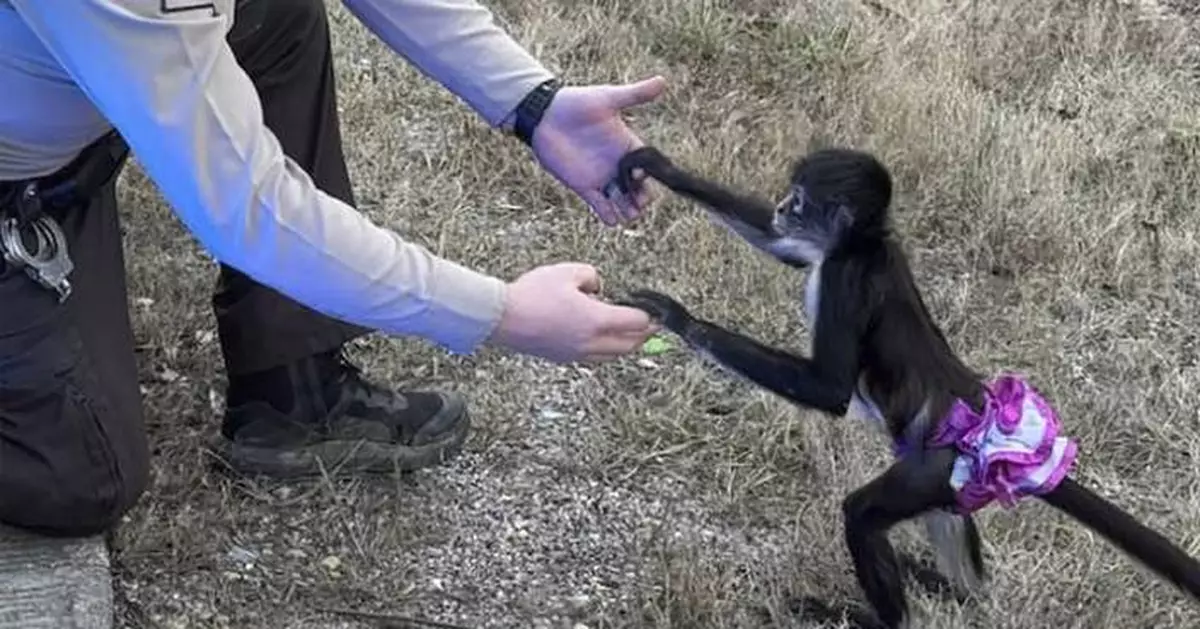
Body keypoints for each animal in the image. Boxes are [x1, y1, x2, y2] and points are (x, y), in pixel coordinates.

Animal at [614, 145, 1200, 624]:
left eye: (799, 200)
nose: (781, 206)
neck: (865, 245)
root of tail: (986, 412)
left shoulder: (845, 278)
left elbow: (829, 390)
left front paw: (680, 319)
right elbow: (783, 248)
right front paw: (660, 166)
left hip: (931, 469)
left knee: (863, 515)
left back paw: (878, 619)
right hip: (954, 481)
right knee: (949, 533)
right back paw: (958, 593)